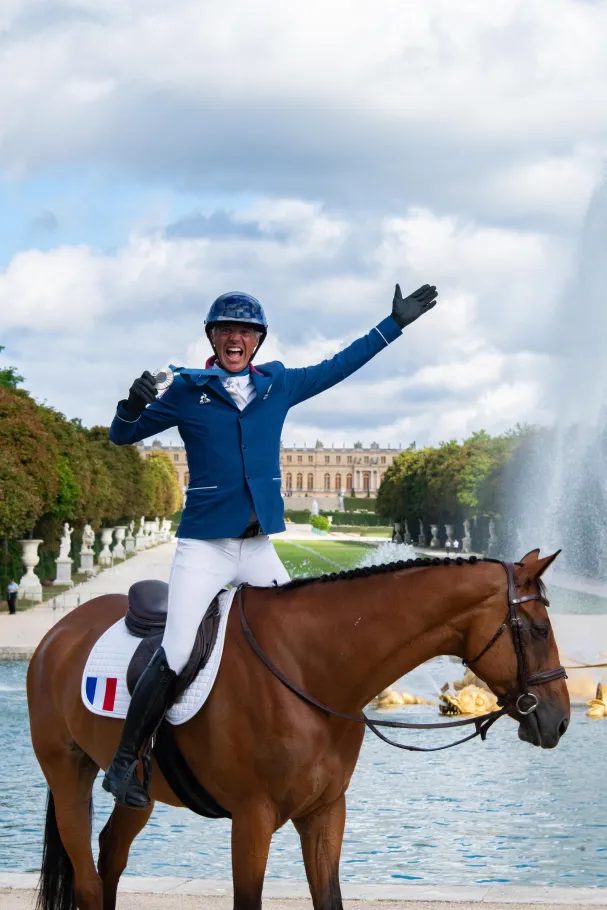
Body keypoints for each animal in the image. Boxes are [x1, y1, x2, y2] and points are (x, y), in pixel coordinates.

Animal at [27, 549, 569, 910]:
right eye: (540, 630)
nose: (560, 719)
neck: (310, 669)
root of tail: (61, 629)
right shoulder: (252, 819)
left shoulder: (325, 813)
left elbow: (329, 899)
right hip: (68, 773)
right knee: (88, 880)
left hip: (141, 792)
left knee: (110, 855)